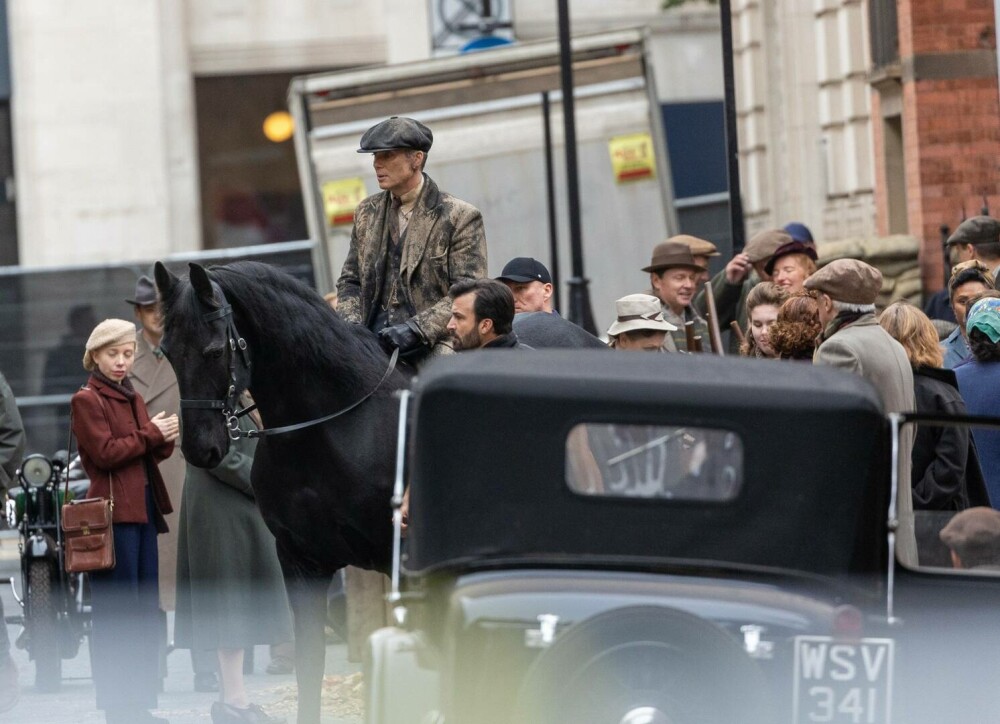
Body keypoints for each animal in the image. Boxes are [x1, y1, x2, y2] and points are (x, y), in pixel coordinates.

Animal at [153, 260, 410, 724]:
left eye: (214, 351)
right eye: (166, 351)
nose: (199, 449)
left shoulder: (400, 562)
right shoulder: (300, 562)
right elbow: (309, 667)